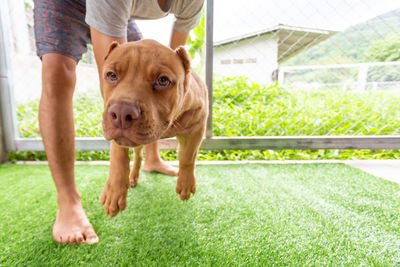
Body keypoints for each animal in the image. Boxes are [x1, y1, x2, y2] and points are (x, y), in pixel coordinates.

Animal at [99, 40, 208, 220]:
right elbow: (118, 156)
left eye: (163, 80)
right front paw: (114, 191)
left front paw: (185, 183)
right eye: (112, 75)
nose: (121, 113)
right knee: (137, 156)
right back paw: (132, 177)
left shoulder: (198, 122)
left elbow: (188, 155)